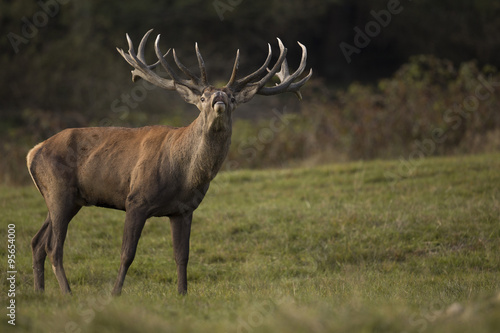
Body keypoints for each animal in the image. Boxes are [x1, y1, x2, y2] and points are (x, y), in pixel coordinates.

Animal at [26, 27, 312, 294]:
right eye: (203, 97)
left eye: (231, 97)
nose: (219, 99)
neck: (184, 175)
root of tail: (33, 151)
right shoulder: (136, 200)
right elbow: (127, 254)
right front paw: (115, 293)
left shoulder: (183, 210)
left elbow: (182, 256)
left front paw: (182, 293)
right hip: (60, 191)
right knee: (53, 246)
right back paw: (66, 292)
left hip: (68, 198)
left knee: (38, 241)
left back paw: (41, 291)